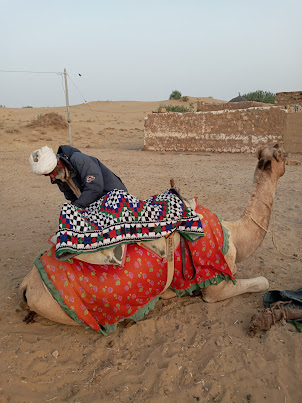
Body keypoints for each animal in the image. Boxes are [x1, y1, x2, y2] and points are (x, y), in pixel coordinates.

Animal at [20, 145, 286, 334]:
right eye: (281, 154)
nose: (287, 157)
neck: (234, 236)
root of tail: (27, 284)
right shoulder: (215, 284)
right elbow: (263, 282)